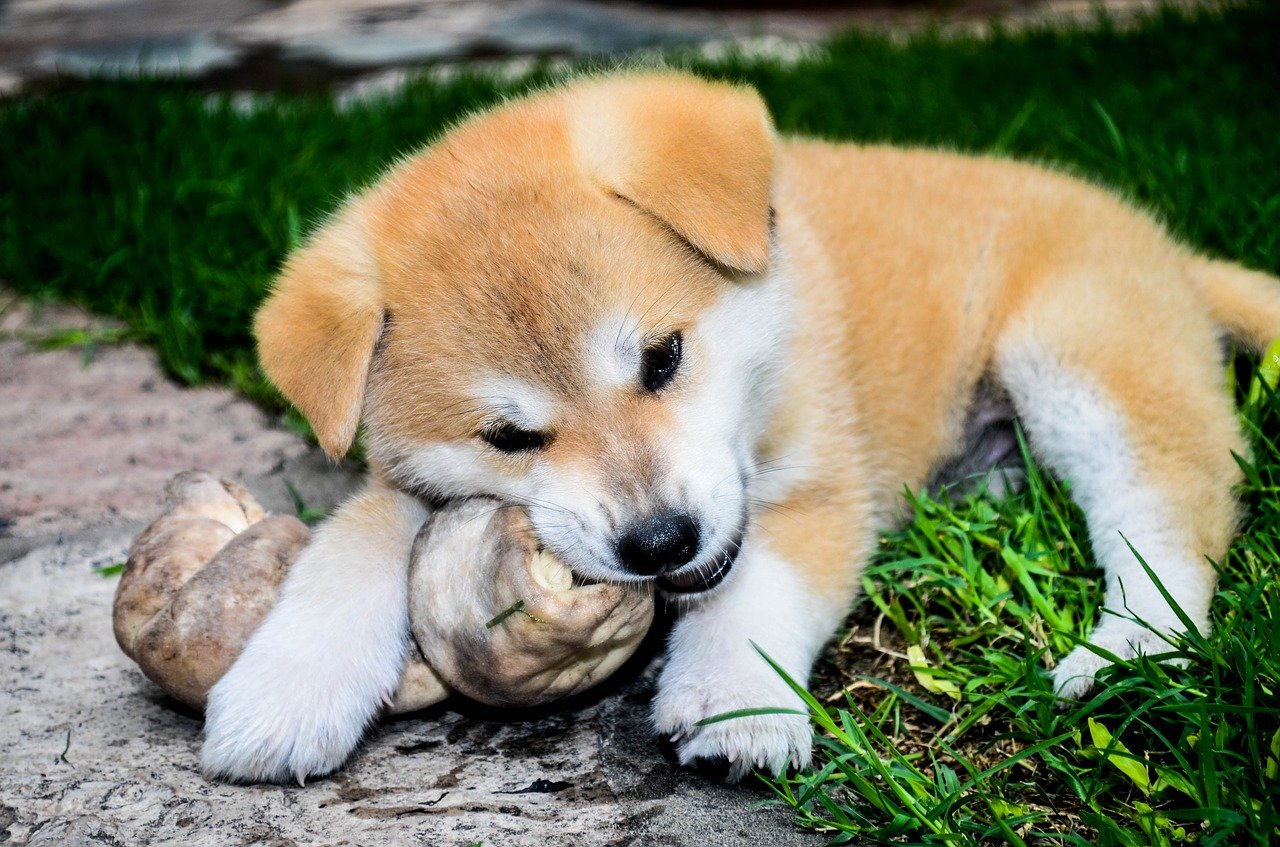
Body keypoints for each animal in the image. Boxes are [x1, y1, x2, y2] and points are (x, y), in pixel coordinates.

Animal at [199, 69, 1280, 788]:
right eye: (507, 438)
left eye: (661, 357)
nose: (658, 541)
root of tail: (1168, 250)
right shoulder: (406, 483)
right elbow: (350, 547)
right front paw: (285, 687)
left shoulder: (820, 482)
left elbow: (760, 584)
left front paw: (729, 699)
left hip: (1078, 356)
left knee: (1168, 522)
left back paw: (1123, 652)